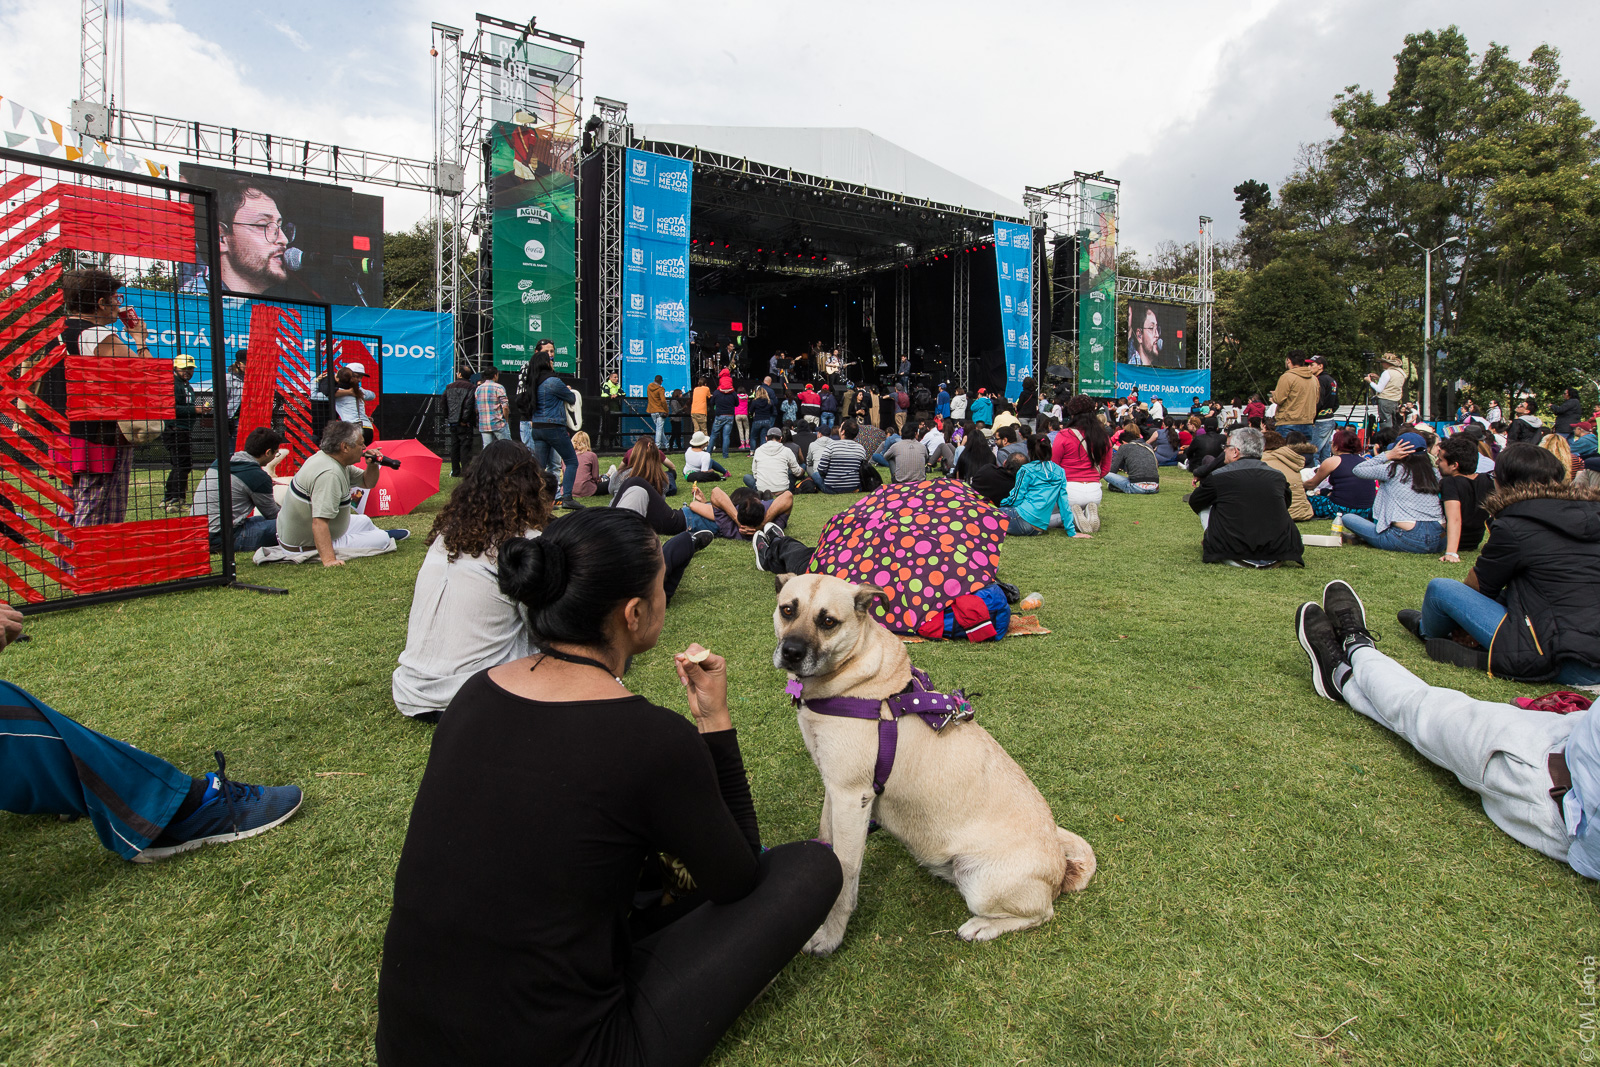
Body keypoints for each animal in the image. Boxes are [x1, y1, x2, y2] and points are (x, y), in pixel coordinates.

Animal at [774, 572, 1100, 953]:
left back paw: (982, 927)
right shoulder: (834, 788)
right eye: (787, 610)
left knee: (1041, 913)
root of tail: (1060, 870)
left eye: (828, 622)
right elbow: (827, 843)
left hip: (980, 881)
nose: (791, 652)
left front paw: (830, 936)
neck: (853, 674)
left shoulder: (852, 796)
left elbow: (845, 872)